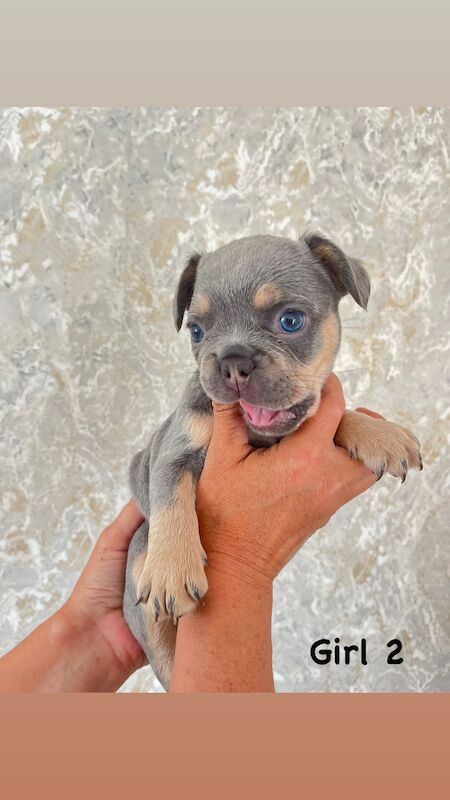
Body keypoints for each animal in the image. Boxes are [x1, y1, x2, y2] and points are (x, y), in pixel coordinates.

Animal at [122, 233, 422, 688]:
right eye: (197, 331)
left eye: (291, 321)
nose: (232, 361)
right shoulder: (170, 452)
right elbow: (172, 497)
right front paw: (172, 566)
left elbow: (327, 417)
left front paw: (378, 434)